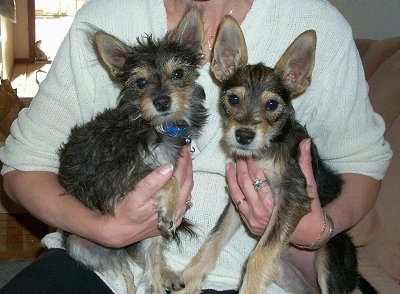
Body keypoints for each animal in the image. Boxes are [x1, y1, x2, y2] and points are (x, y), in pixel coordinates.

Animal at [57, 7, 208, 294]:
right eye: (140, 82)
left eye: (178, 74)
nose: (161, 101)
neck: (158, 127)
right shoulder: (115, 176)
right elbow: (168, 179)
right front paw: (170, 206)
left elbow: (152, 260)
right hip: (81, 246)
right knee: (126, 269)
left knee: (146, 259)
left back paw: (166, 273)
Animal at [179, 15, 378, 294]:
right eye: (233, 99)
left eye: (272, 104)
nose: (243, 135)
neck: (267, 150)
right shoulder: (238, 204)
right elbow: (214, 238)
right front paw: (189, 282)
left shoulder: (292, 197)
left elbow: (259, 255)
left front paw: (249, 289)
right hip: (286, 274)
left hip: (328, 257)